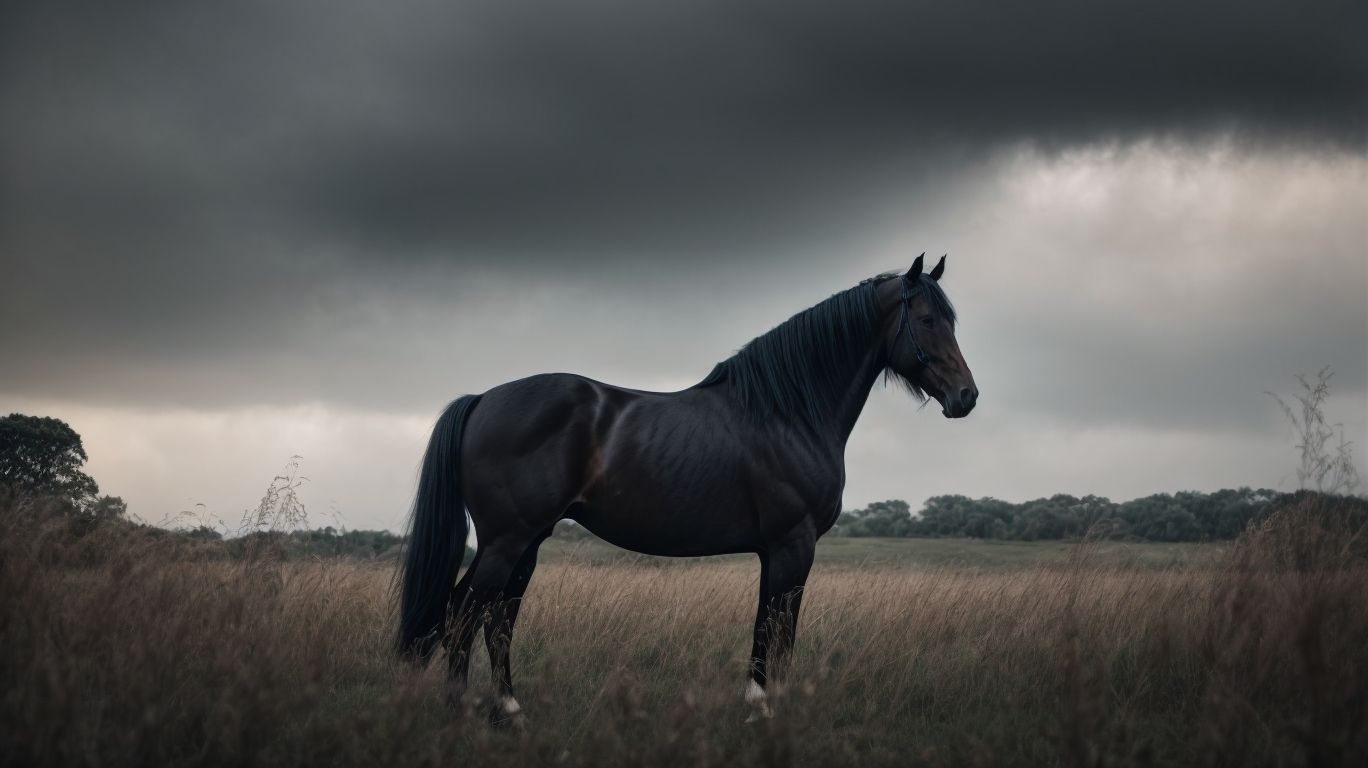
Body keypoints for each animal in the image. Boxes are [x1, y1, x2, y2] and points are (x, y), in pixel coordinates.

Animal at [396, 253, 978, 722]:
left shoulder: (774, 550)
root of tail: (482, 399)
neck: (788, 412)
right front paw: (766, 710)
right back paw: (462, 712)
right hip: (507, 539)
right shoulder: (794, 545)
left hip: (527, 541)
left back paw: (509, 709)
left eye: (953, 320)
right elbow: (779, 630)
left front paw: (758, 704)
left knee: (496, 618)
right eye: (927, 320)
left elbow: (766, 626)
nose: (966, 397)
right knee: (464, 614)